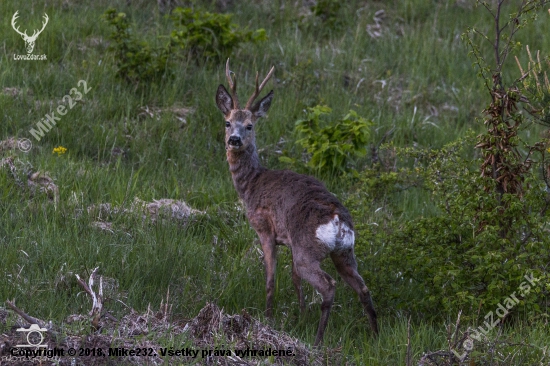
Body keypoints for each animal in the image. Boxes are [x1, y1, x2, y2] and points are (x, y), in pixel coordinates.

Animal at [216, 60, 380, 346]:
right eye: (227, 123)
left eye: (249, 125)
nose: (234, 140)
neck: (252, 184)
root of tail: (337, 220)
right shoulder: (290, 241)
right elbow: (294, 280)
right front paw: (301, 316)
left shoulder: (265, 229)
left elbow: (271, 278)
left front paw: (268, 319)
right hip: (344, 252)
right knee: (362, 287)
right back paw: (375, 337)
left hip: (308, 250)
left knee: (329, 286)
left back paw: (318, 340)